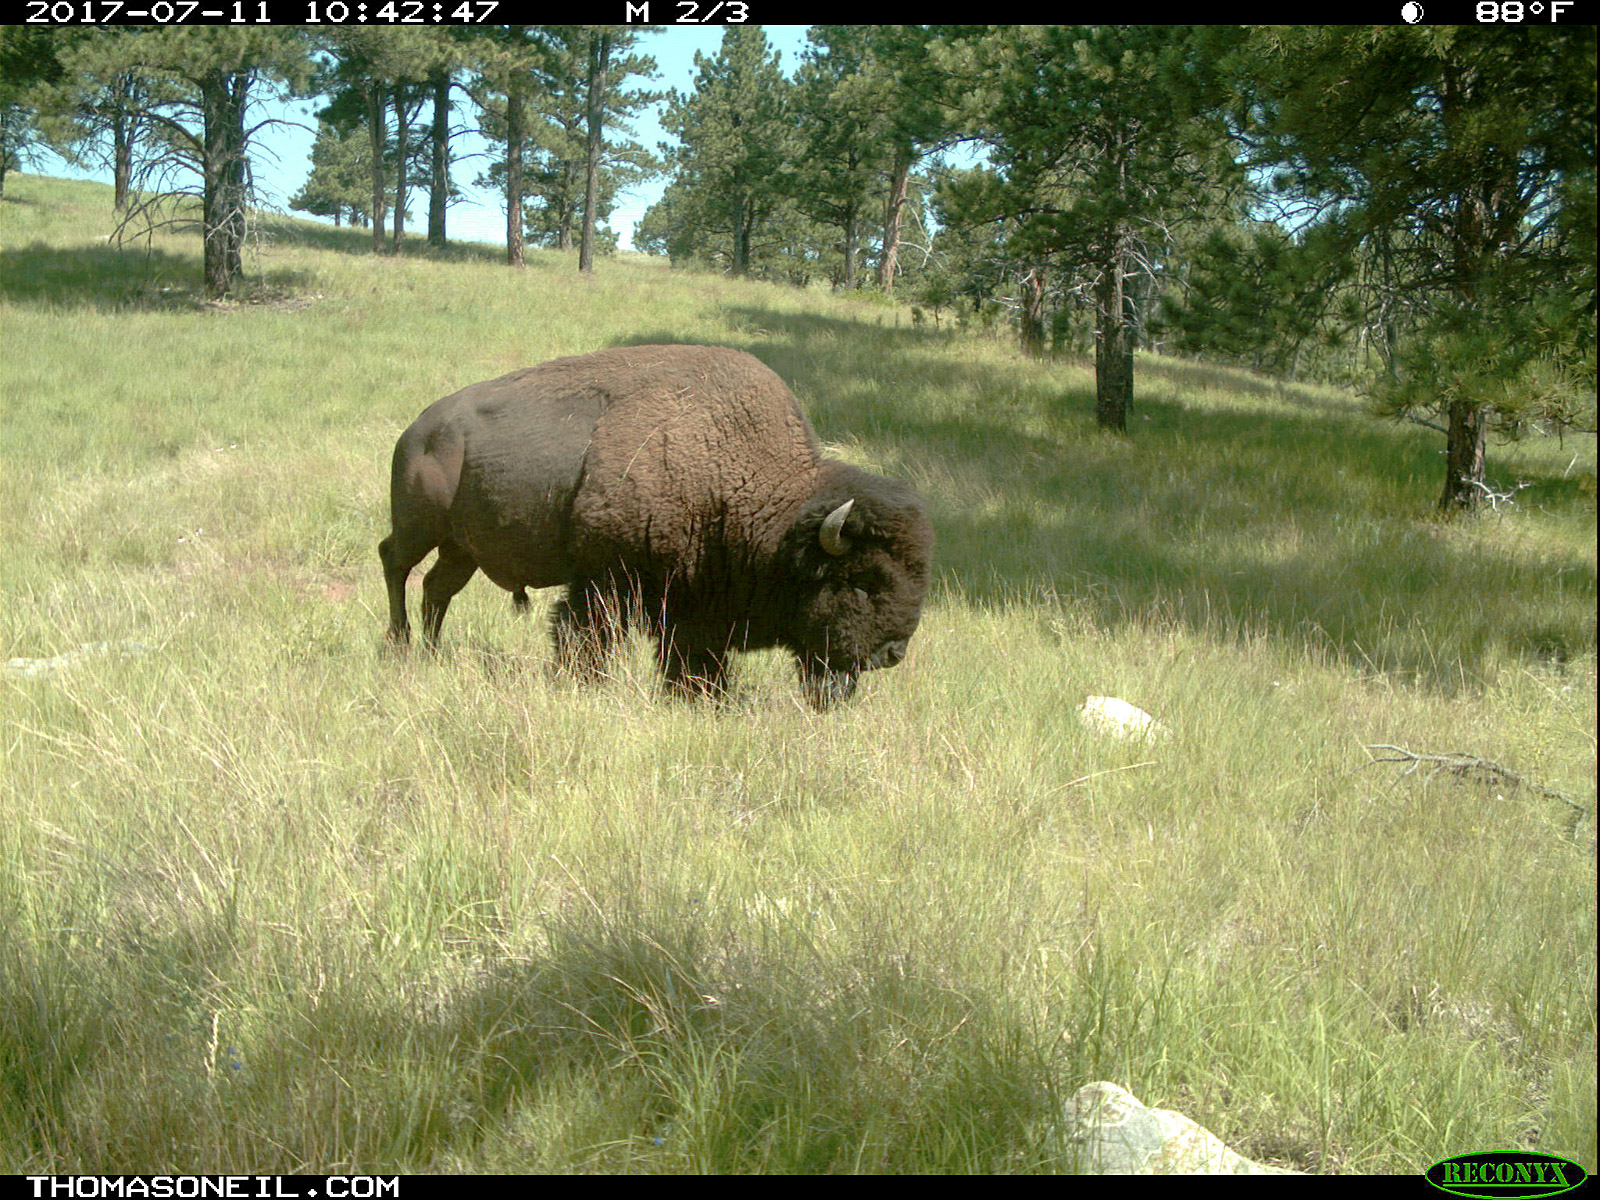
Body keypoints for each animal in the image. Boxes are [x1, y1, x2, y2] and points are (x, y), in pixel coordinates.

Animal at [379, 344, 932, 707]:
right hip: (419, 527)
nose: (892, 652)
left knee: (436, 588)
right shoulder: (607, 580)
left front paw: (702, 696)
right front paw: (587, 685)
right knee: (395, 564)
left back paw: (431, 652)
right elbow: (586, 634)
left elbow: (694, 655)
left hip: (461, 549)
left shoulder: (694, 604)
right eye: (860, 583)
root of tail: (417, 429)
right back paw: (399, 645)